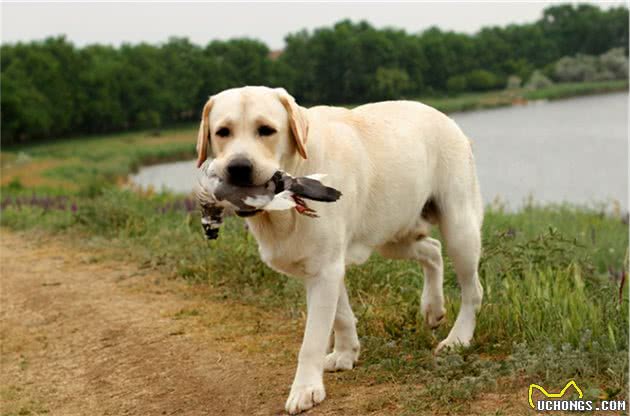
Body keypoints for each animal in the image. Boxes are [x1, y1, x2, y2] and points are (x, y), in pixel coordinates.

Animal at [196, 86, 484, 414]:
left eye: (266, 130)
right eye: (222, 132)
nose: (239, 168)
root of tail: (445, 117)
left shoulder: (325, 269)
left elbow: (312, 339)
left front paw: (306, 389)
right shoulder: (326, 268)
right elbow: (341, 316)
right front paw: (347, 353)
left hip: (459, 229)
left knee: (472, 290)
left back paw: (458, 338)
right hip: (392, 238)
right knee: (432, 250)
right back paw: (432, 308)